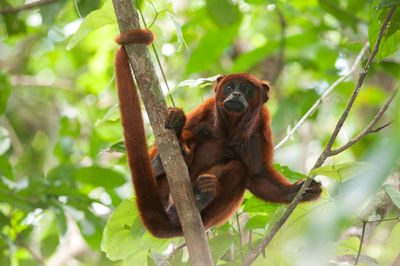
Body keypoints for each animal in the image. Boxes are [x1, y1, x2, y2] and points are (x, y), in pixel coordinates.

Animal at [113, 28, 322, 237]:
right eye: (230, 87)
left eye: (247, 90)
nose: (236, 94)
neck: (230, 128)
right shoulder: (207, 107)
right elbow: (163, 140)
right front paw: (178, 121)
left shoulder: (261, 126)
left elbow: (257, 174)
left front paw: (294, 191)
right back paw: (163, 162)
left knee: (239, 169)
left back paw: (198, 198)